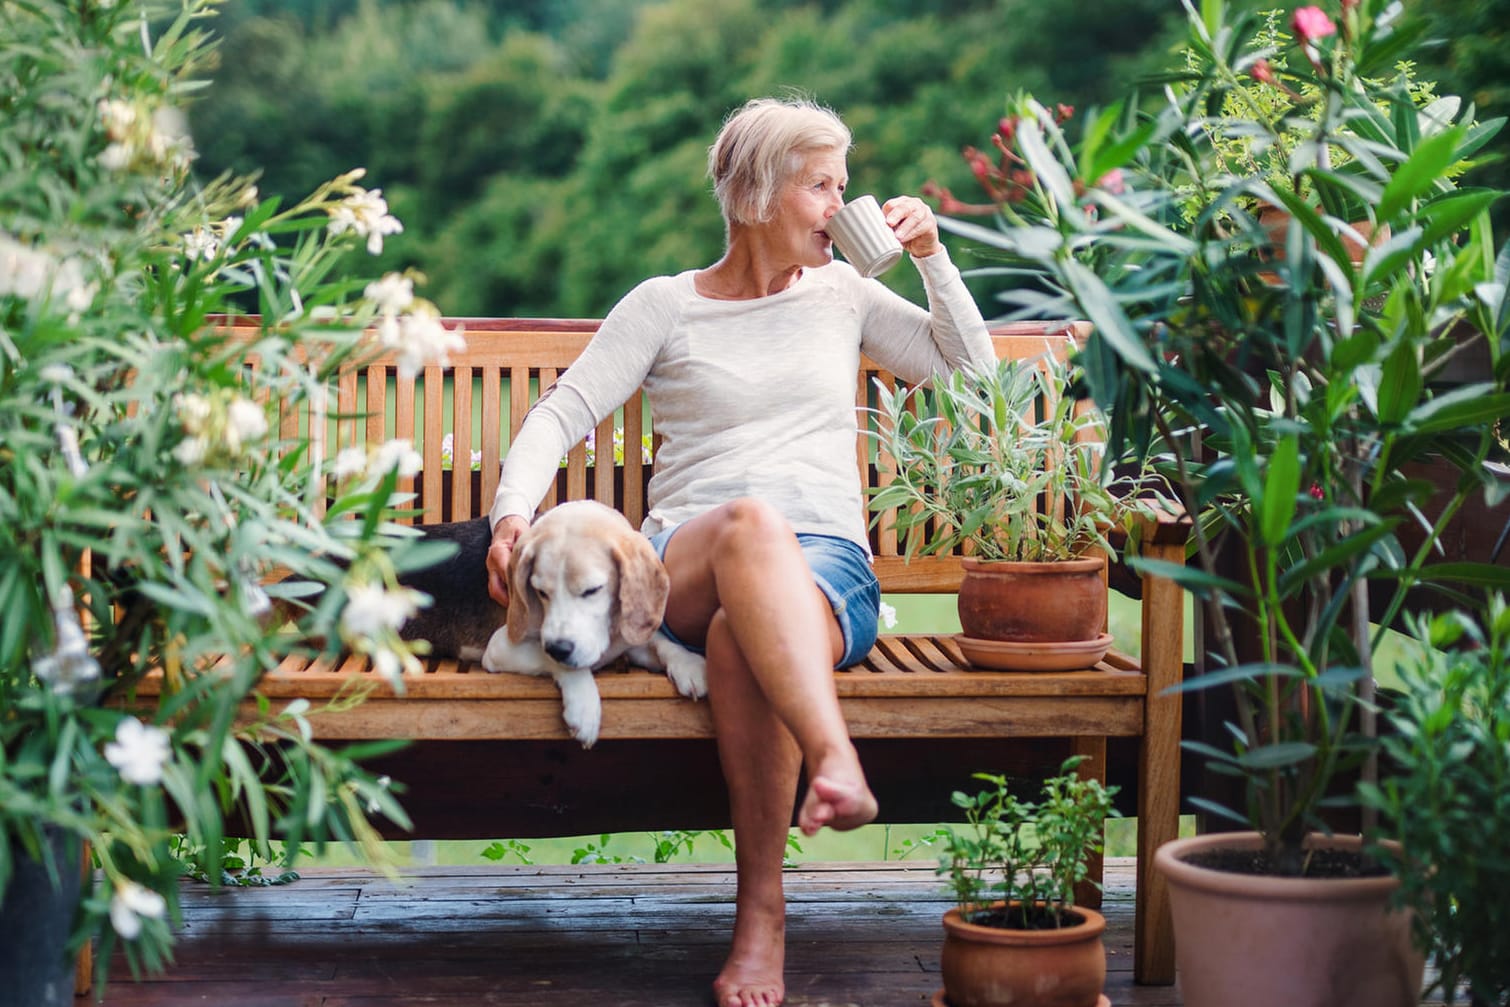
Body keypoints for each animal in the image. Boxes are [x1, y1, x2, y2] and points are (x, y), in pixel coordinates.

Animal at [480, 501, 709, 745]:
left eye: (592, 590)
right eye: (541, 592)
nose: (558, 648)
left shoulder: (625, 643)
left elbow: (660, 641)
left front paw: (687, 663)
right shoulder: (499, 647)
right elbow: (551, 657)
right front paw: (584, 708)